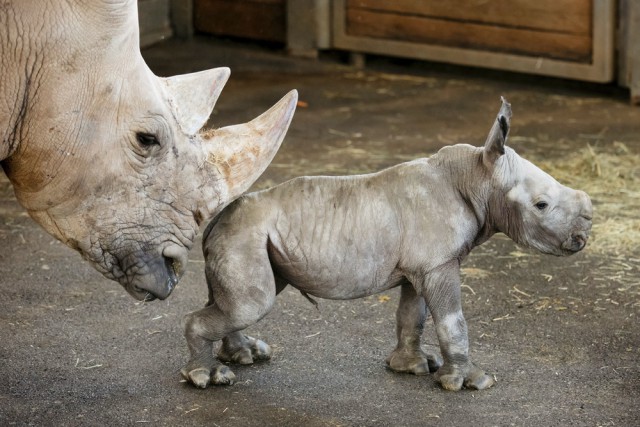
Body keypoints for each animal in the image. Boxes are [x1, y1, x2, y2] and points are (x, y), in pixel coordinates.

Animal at [180, 99, 592, 392]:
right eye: (541, 205)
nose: (584, 233)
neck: (476, 177)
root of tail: (215, 221)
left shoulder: (422, 266)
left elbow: (413, 315)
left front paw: (413, 366)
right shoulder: (439, 264)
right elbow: (453, 321)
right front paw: (472, 382)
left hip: (246, 235)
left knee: (239, 304)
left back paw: (245, 356)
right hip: (244, 236)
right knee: (252, 303)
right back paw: (208, 378)